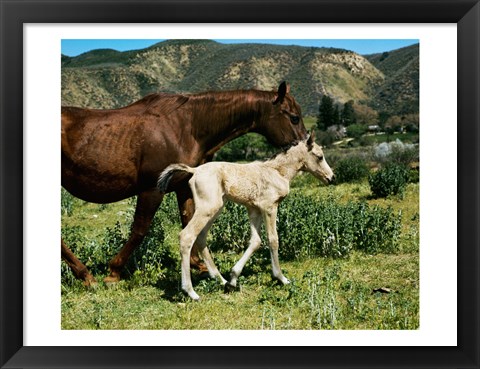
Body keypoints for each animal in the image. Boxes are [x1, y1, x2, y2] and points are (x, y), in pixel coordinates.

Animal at [62, 81, 308, 284]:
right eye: (294, 117)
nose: (306, 145)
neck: (185, 126)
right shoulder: (152, 190)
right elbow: (140, 230)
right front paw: (114, 271)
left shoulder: (183, 186)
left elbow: (188, 221)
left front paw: (197, 264)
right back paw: (85, 275)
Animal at [158, 132, 334, 300]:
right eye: (320, 156)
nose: (332, 178)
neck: (277, 172)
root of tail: (194, 170)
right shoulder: (269, 207)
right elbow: (273, 240)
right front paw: (281, 278)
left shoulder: (254, 209)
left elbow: (256, 241)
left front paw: (233, 279)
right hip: (208, 208)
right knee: (187, 236)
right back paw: (190, 292)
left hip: (215, 209)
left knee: (201, 237)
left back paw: (221, 280)